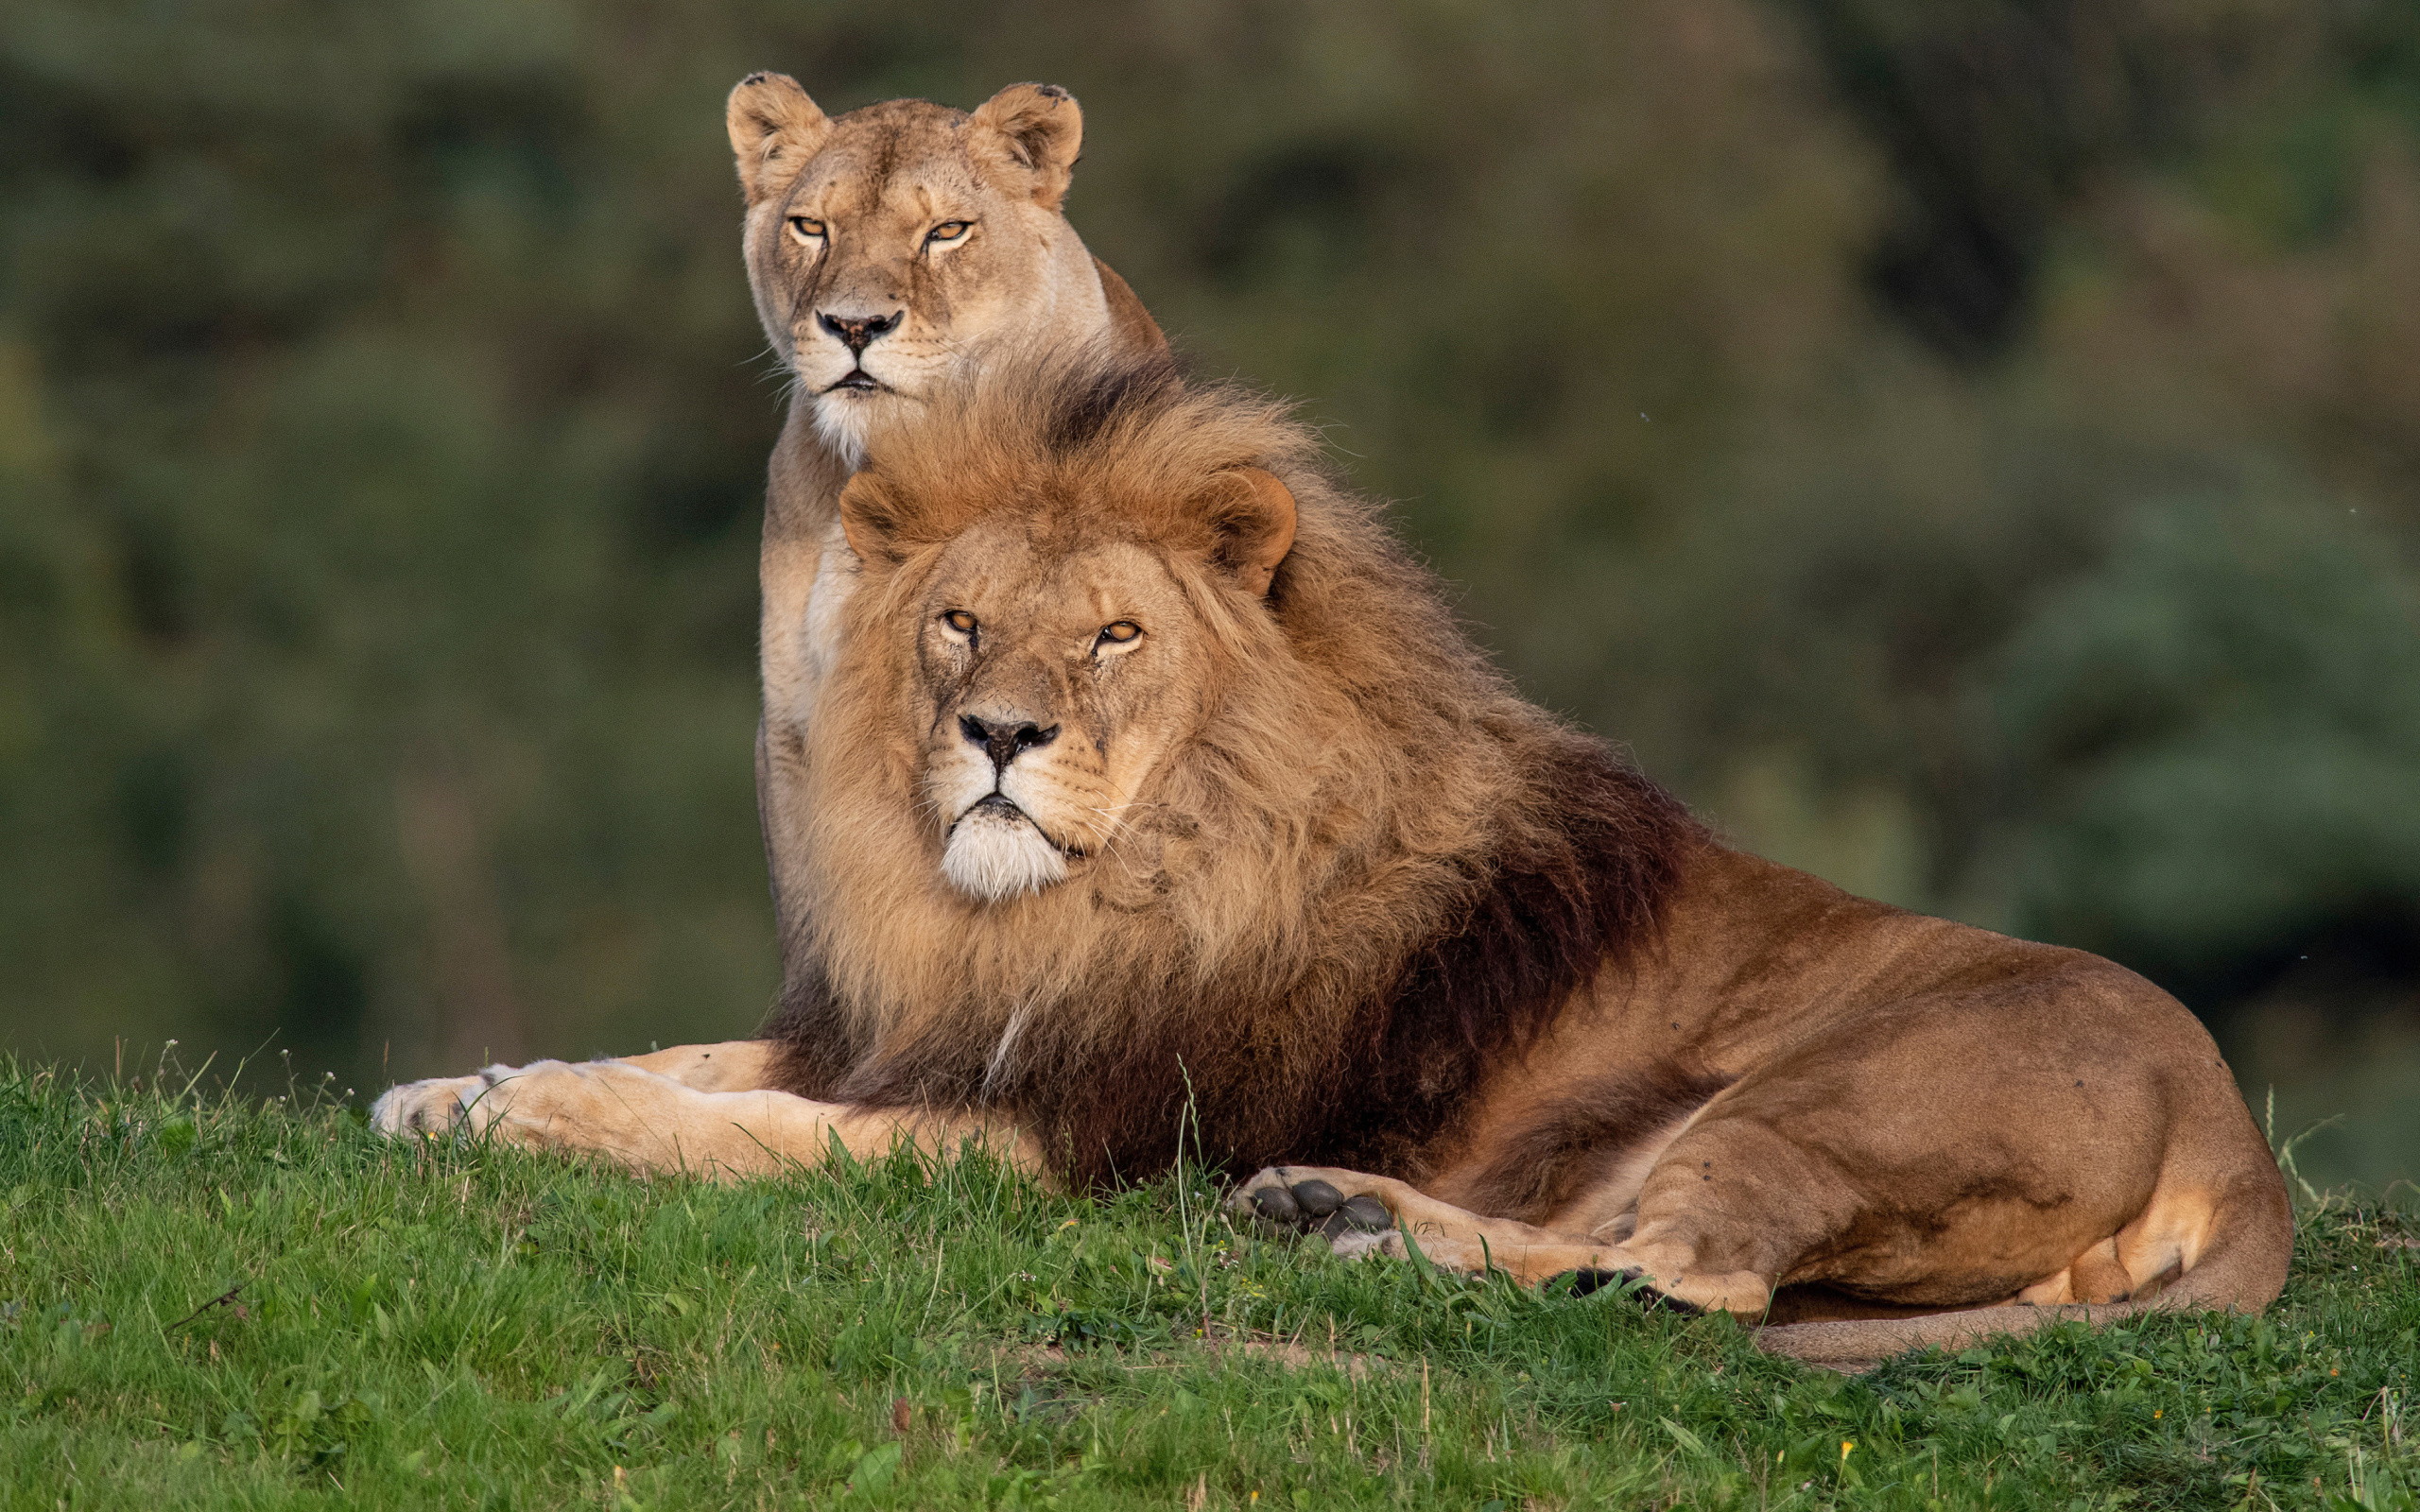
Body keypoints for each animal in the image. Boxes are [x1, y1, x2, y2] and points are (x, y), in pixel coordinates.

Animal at [372, 351, 2284, 1364]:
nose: (999, 737)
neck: (1062, 911)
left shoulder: (1059, 1140)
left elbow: (752, 1131)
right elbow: (707, 1056)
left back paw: (1371, 1239)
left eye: (1118, 637)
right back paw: (1336, 1215)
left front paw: (539, 1112)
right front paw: (443, 1090)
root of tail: (2236, 1135)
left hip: (1821, 1098)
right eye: (961, 623)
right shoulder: (921, 1030)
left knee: (1698, 1287)